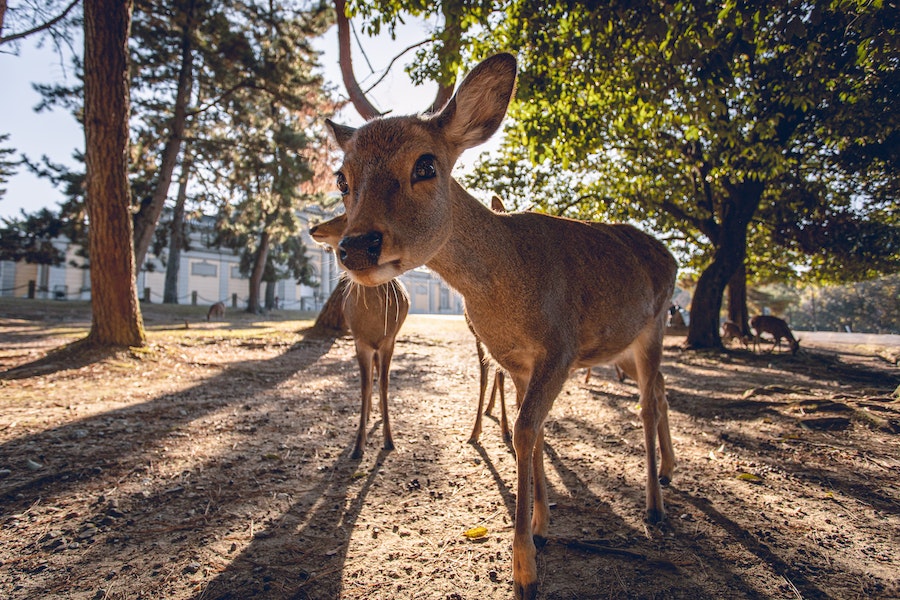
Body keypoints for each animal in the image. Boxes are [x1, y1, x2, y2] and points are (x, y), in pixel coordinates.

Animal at [308, 213, 410, 458]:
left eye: (345, 216)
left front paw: (389, 440)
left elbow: (385, 383)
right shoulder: (360, 341)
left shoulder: (389, 341)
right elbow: (364, 387)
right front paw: (357, 446)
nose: (313, 228)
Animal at [324, 54, 676, 596]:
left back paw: (655, 507)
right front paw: (543, 525)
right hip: (628, 345)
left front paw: (525, 569)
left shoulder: (560, 348)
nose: (357, 247)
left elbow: (526, 432)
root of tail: (672, 256)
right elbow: (533, 432)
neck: (507, 292)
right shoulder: (514, 360)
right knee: (660, 390)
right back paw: (669, 477)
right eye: (342, 178)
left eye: (425, 164)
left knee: (646, 403)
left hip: (654, 325)